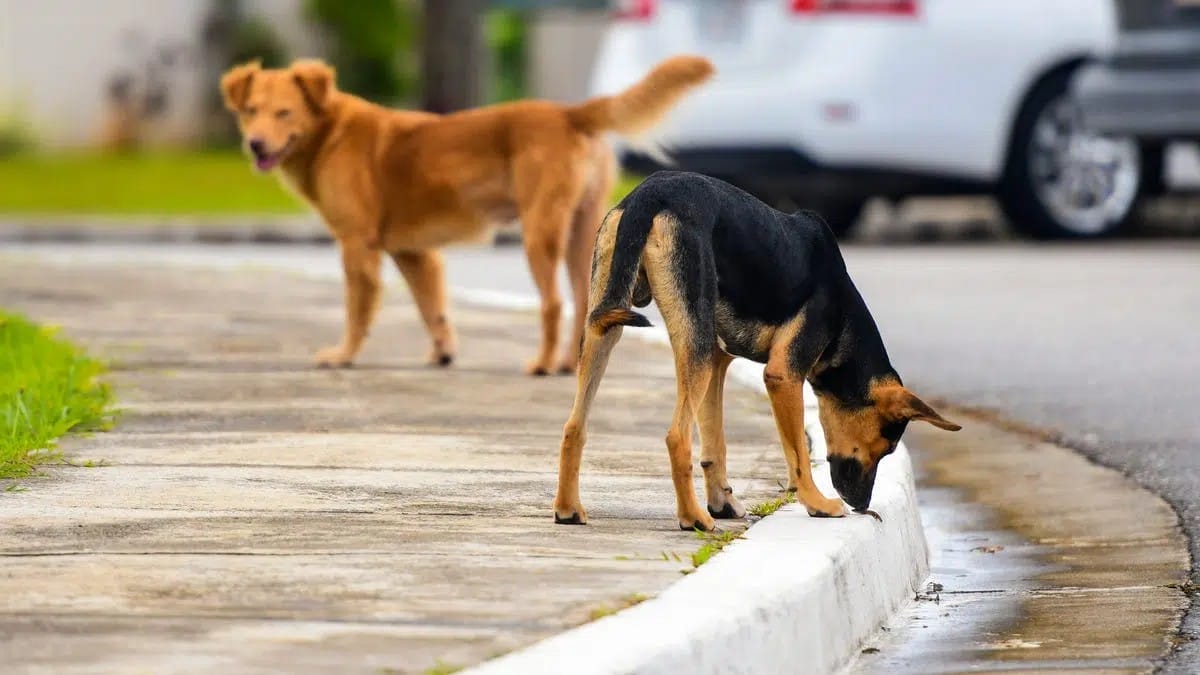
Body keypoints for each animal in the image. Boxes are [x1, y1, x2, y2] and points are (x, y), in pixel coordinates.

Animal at [220, 56, 710, 372]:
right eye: (251, 111)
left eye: (284, 112)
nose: (255, 144)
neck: (329, 131)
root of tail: (569, 112)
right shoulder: (414, 253)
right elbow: (432, 308)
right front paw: (442, 354)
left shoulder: (358, 246)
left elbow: (358, 312)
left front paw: (343, 355)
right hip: (583, 236)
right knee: (582, 301)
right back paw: (570, 363)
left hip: (539, 235)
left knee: (553, 303)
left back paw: (543, 364)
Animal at [556, 170, 960, 528]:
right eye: (885, 446)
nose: (862, 505)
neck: (843, 313)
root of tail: (648, 195)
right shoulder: (782, 376)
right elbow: (797, 454)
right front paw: (816, 504)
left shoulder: (719, 362)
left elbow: (715, 445)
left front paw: (722, 503)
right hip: (691, 343)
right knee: (676, 436)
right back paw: (692, 518)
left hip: (607, 327)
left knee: (575, 424)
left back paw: (568, 509)